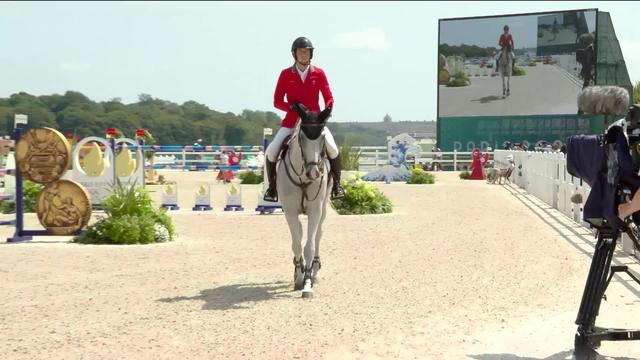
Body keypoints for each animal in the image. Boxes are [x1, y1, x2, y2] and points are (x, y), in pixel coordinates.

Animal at [278, 103, 332, 298]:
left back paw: (314, 270)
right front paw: (299, 276)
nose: (314, 173)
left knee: (317, 236)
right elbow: (296, 244)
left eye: (323, 136)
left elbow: (309, 246)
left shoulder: (315, 210)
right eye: (301, 137)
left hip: (323, 209)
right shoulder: (290, 211)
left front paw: (307, 282)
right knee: (300, 234)